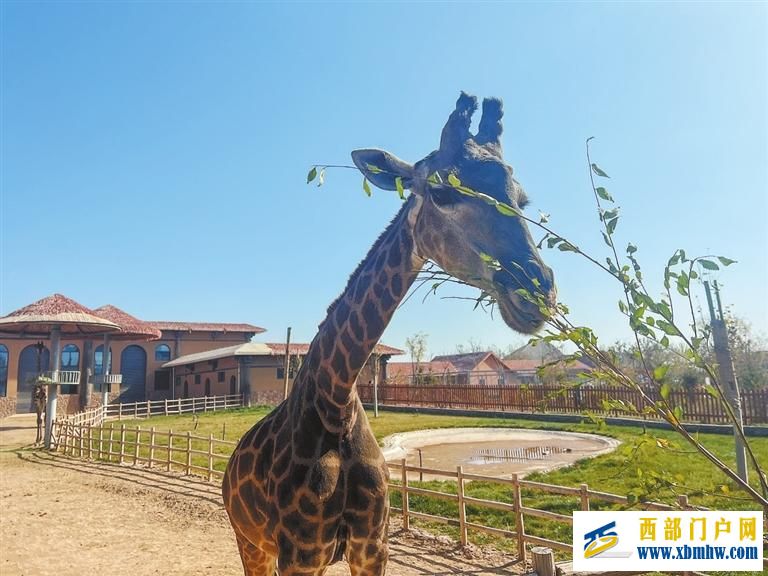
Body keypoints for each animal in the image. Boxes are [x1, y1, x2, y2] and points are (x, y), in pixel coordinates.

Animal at [222, 92, 552, 572]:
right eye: (441, 191)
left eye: (522, 200)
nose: (536, 291)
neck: (336, 404)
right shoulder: (300, 553)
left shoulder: (372, 545)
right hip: (250, 542)